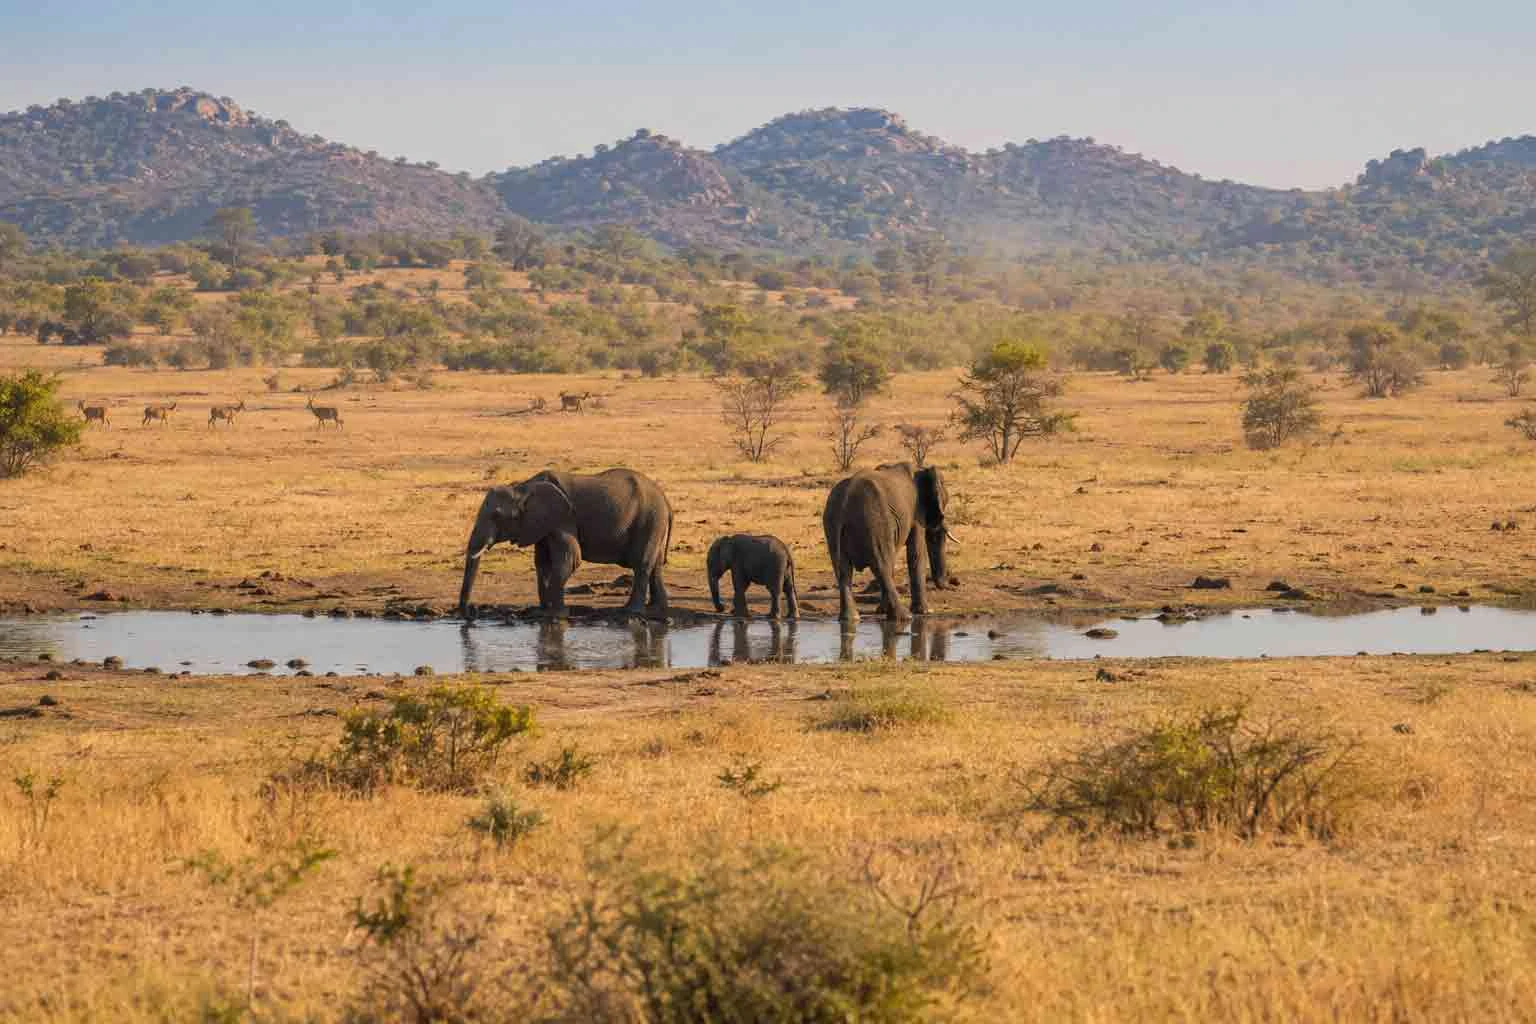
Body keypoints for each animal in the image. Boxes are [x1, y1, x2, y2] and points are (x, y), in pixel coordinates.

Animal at [458, 468, 672, 618]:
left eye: (496, 515)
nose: (469, 613)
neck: (523, 488)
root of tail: (665, 499)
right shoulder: (541, 523)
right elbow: (543, 562)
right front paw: (542, 611)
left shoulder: (563, 518)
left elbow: (570, 559)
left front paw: (555, 615)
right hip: (654, 522)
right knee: (655, 566)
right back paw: (656, 610)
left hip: (650, 519)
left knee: (642, 563)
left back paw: (629, 612)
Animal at [823, 462, 952, 627]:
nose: (950, 585)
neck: (922, 469)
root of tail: (843, 505)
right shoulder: (916, 513)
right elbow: (916, 553)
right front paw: (926, 612)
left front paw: (882, 611)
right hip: (874, 521)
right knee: (880, 566)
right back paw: (904, 617)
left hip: (832, 526)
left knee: (843, 571)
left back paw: (850, 619)